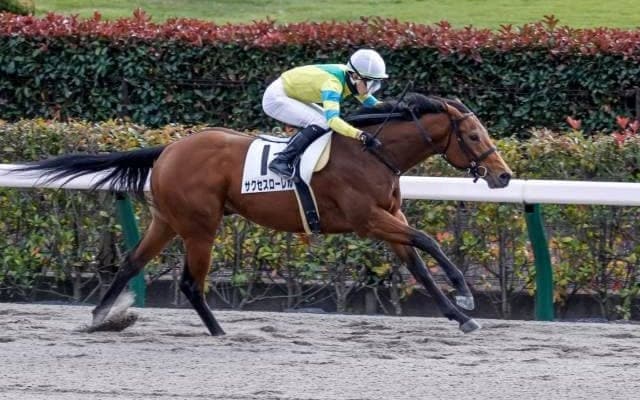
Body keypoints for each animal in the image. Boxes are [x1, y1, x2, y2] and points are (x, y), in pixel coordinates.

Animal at [14, 92, 512, 335]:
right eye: (471, 135)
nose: (503, 176)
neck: (373, 152)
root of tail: (169, 149)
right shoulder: (367, 220)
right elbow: (427, 242)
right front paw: (466, 294)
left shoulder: (391, 221)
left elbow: (421, 267)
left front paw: (462, 316)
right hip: (200, 226)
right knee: (190, 283)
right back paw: (218, 331)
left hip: (168, 220)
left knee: (131, 263)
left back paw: (102, 317)